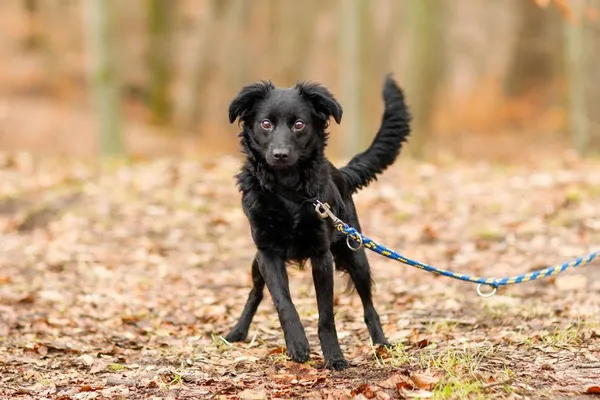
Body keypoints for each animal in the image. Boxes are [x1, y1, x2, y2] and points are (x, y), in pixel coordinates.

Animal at [226, 74, 412, 368]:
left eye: (299, 124)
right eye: (265, 123)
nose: (280, 154)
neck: (288, 190)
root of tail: (343, 174)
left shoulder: (321, 255)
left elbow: (326, 315)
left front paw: (334, 356)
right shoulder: (267, 254)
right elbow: (283, 301)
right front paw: (297, 344)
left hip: (356, 255)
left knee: (369, 305)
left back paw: (381, 343)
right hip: (257, 264)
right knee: (255, 293)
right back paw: (238, 332)